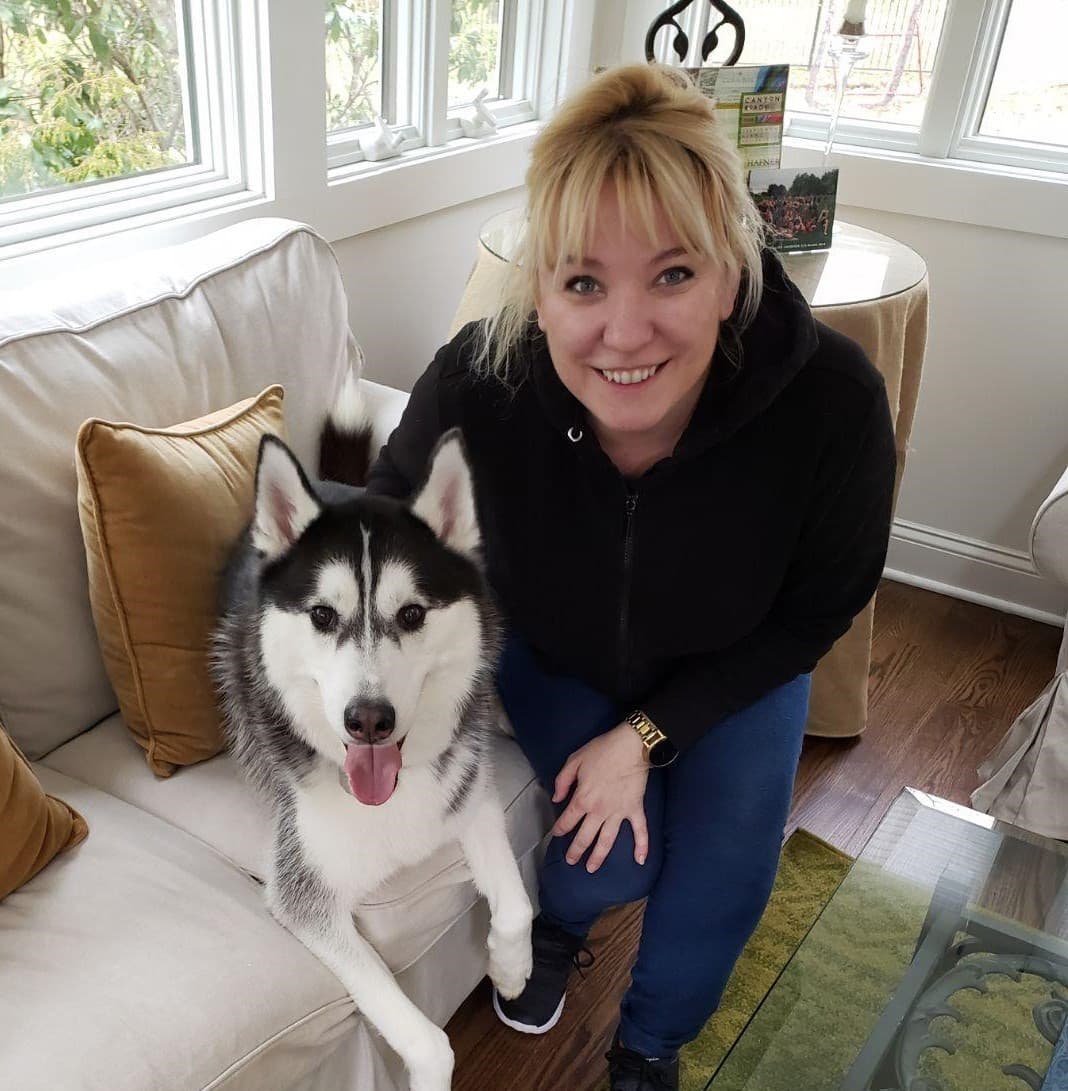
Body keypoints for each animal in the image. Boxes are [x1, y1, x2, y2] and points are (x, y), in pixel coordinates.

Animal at [211, 377, 534, 1091]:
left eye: (411, 614)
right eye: (322, 616)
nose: (368, 719)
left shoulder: (471, 798)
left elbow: (518, 905)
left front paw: (510, 969)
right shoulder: (308, 901)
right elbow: (429, 1042)